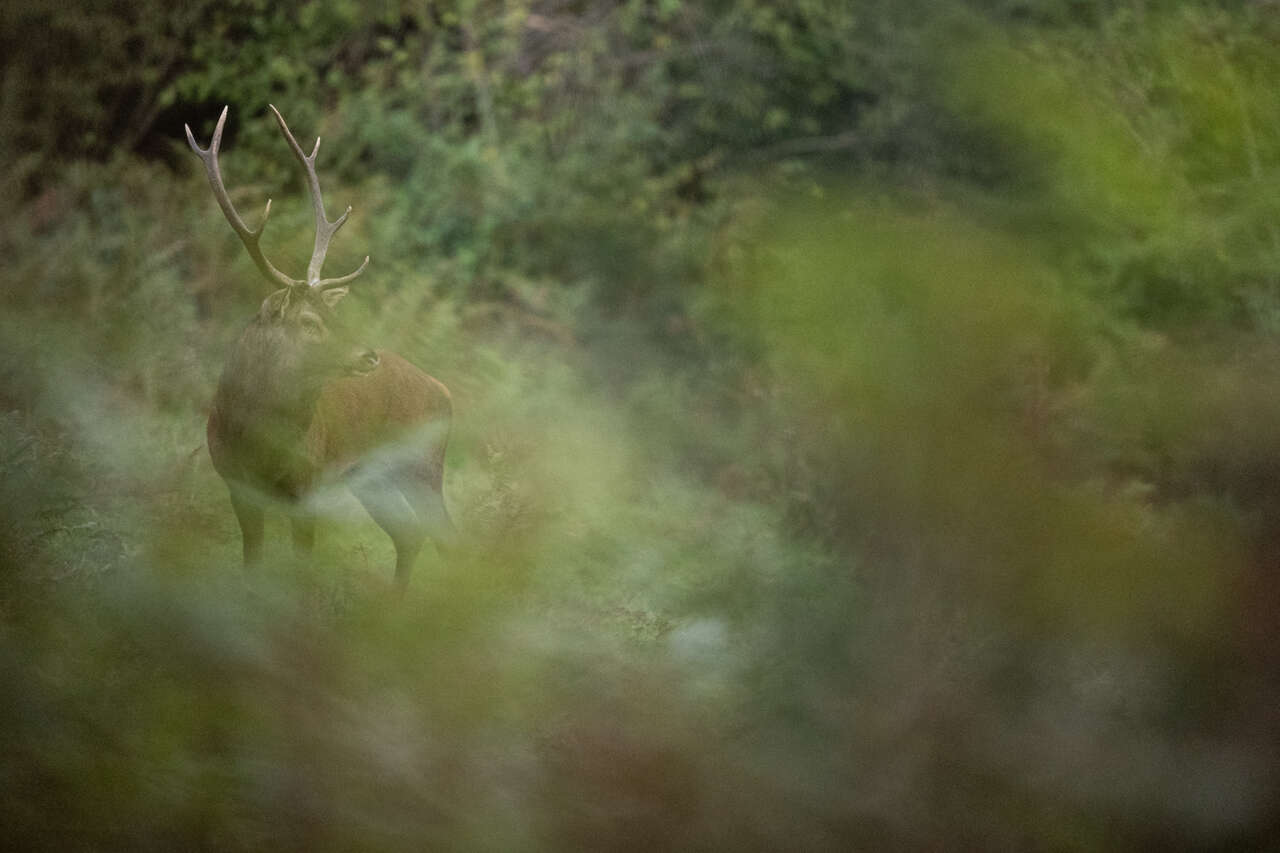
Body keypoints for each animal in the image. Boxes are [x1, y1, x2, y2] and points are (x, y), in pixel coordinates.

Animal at [186, 105, 454, 590]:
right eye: (310, 322)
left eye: (334, 315)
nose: (368, 355)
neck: (256, 439)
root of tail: (443, 391)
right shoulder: (236, 485)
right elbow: (251, 563)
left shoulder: (307, 486)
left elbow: (301, 568)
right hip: (373, 480)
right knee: (409, 536)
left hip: (424, 466)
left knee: (448, 539)